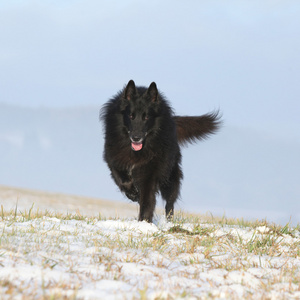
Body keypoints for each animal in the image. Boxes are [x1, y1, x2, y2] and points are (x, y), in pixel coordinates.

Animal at [101, 80, 220, 223]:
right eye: (131, 116)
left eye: (146, 117)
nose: (136, 137)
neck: (137, 151)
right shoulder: (114, 159)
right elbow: (123, 180)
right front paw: (133, 194)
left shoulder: (150, 172)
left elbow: (147, 200)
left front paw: (144, 221)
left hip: (170, 177)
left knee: (170, 203)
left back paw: (168, 221)